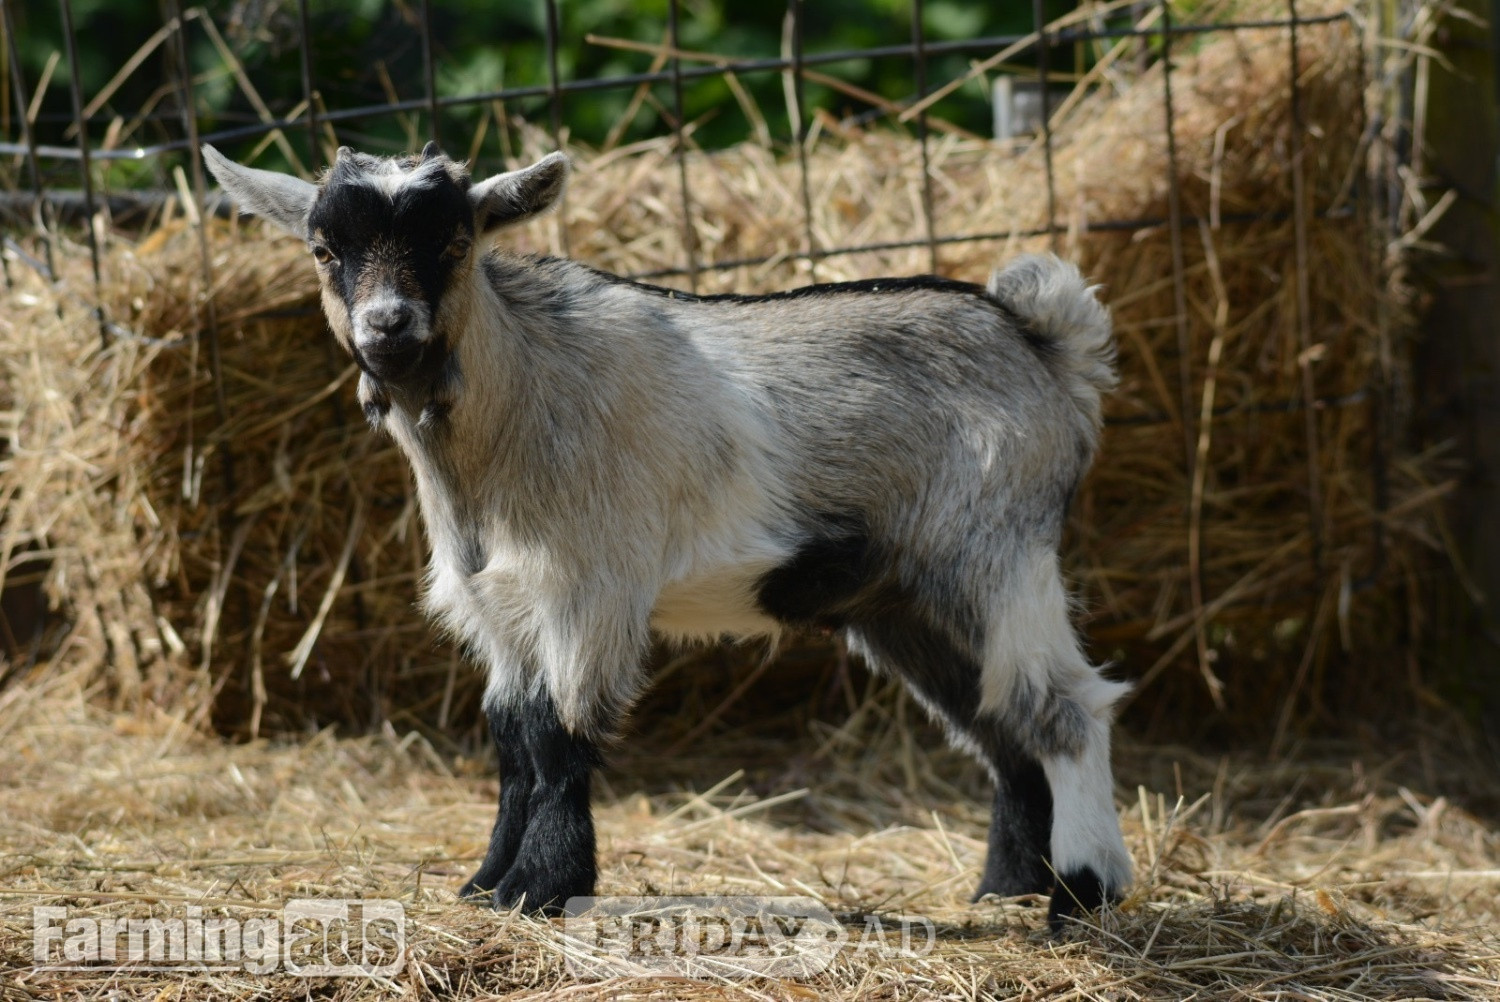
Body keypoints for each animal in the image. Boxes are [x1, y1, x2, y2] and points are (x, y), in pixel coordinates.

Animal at [202, 142, 1132, 931]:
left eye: (457, 241)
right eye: (325, 249)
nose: (388, 326)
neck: (515, 405)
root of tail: (1045, 344)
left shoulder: (588, 587)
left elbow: (559, 736)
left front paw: (539, 888)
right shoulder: (500, 608)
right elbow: (511, 737)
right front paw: (484, 882)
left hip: (997, 555)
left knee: (1066, 709)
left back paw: (1082, 896)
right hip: (904, 599)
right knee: (1000, 723)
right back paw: (1008, 889)